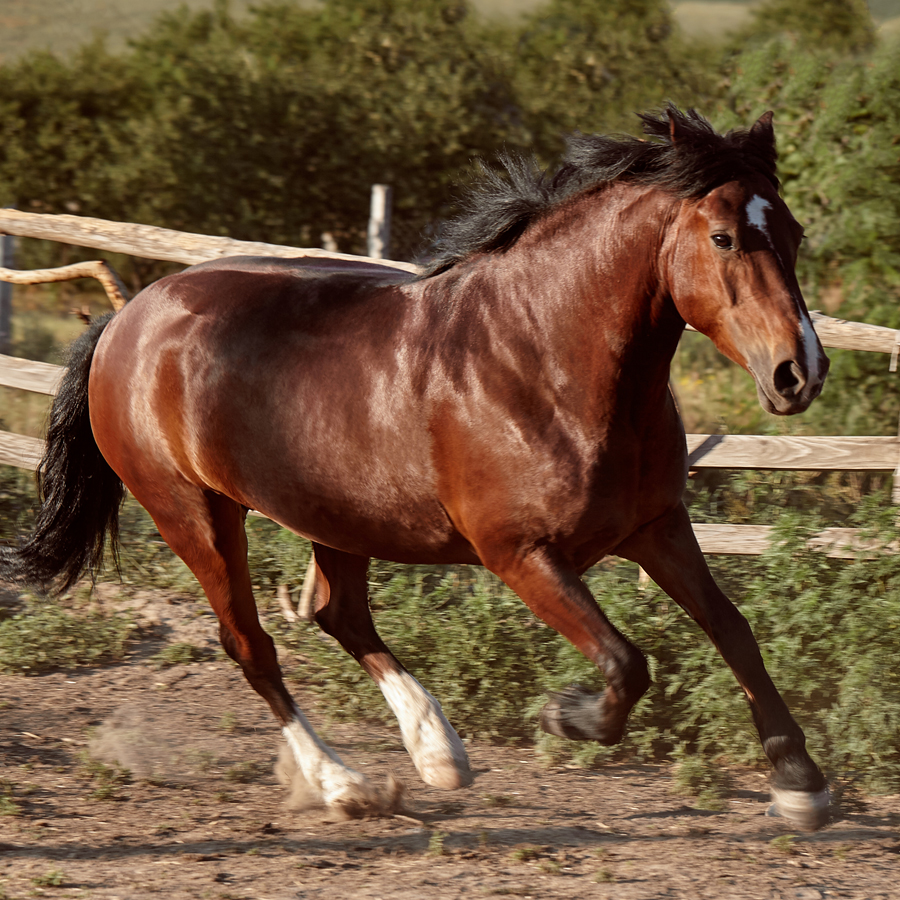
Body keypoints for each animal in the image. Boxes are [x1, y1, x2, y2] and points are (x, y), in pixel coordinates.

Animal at [0, 105, 828, 828]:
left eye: (792, 231)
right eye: (723, 237)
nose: (800, 373)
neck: (545, 360)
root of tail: (128, 318)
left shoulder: (656, 526)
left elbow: (733, 631)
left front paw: (801, 786)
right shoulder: (521, 554)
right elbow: (627, 663)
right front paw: (565, 716)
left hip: (332, 512)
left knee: (337, 614)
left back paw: (437, 753)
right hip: (194, 513)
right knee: (251, 644)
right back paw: (345, 784)